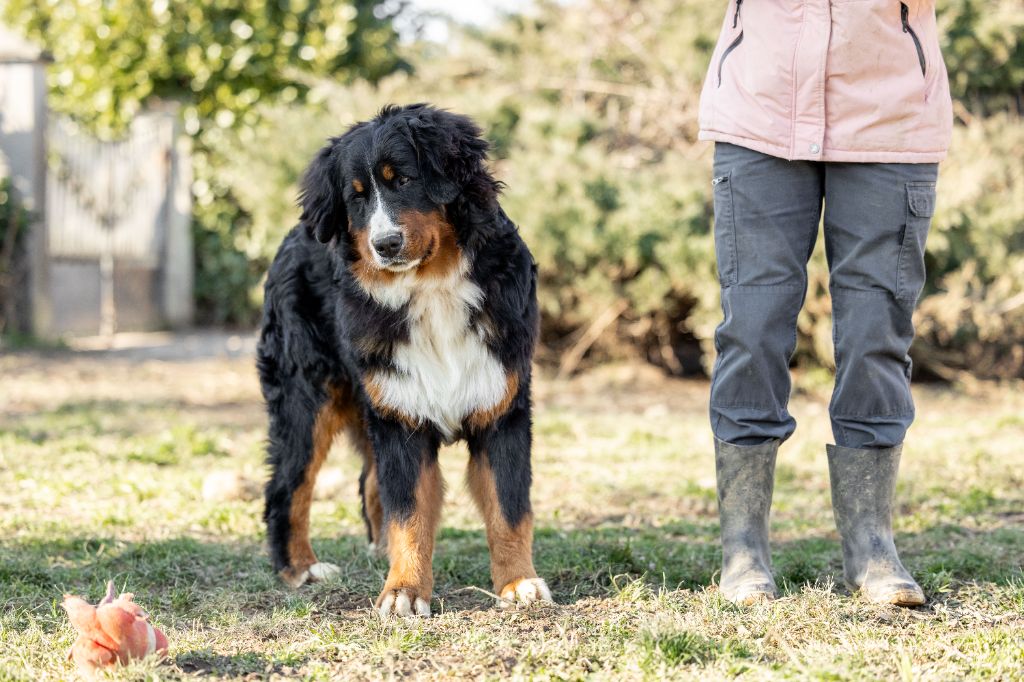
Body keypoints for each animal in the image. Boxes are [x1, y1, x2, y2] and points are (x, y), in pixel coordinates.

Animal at [258, 102, 552, 614]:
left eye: (404, 180)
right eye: (355, 197)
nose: (385, 244)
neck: (432, 288)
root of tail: (296, 233)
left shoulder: (502, 410)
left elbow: (509, 508)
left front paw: (519, 582)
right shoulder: (402, 417)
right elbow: (410, 513)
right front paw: (404, 591)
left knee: (369, 482)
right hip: (306, 400)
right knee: (287, 488)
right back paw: (301, 568)